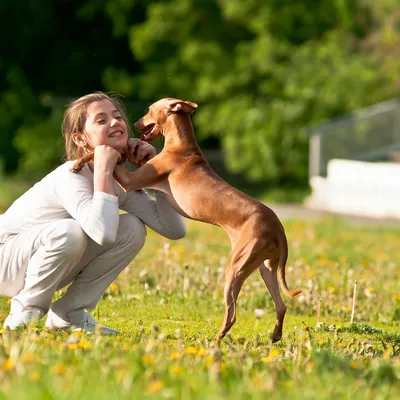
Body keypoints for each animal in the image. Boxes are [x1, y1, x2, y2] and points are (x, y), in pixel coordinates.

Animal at [112, 98, 300, 342]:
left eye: (150, 109)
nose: (135, 123)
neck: (181, 146)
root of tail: (278, 228)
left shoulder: (131, 180)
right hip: (266, 268)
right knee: (281, 306)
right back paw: (275, 335)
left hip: (235, 268)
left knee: (232, 315)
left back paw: (216, 339)